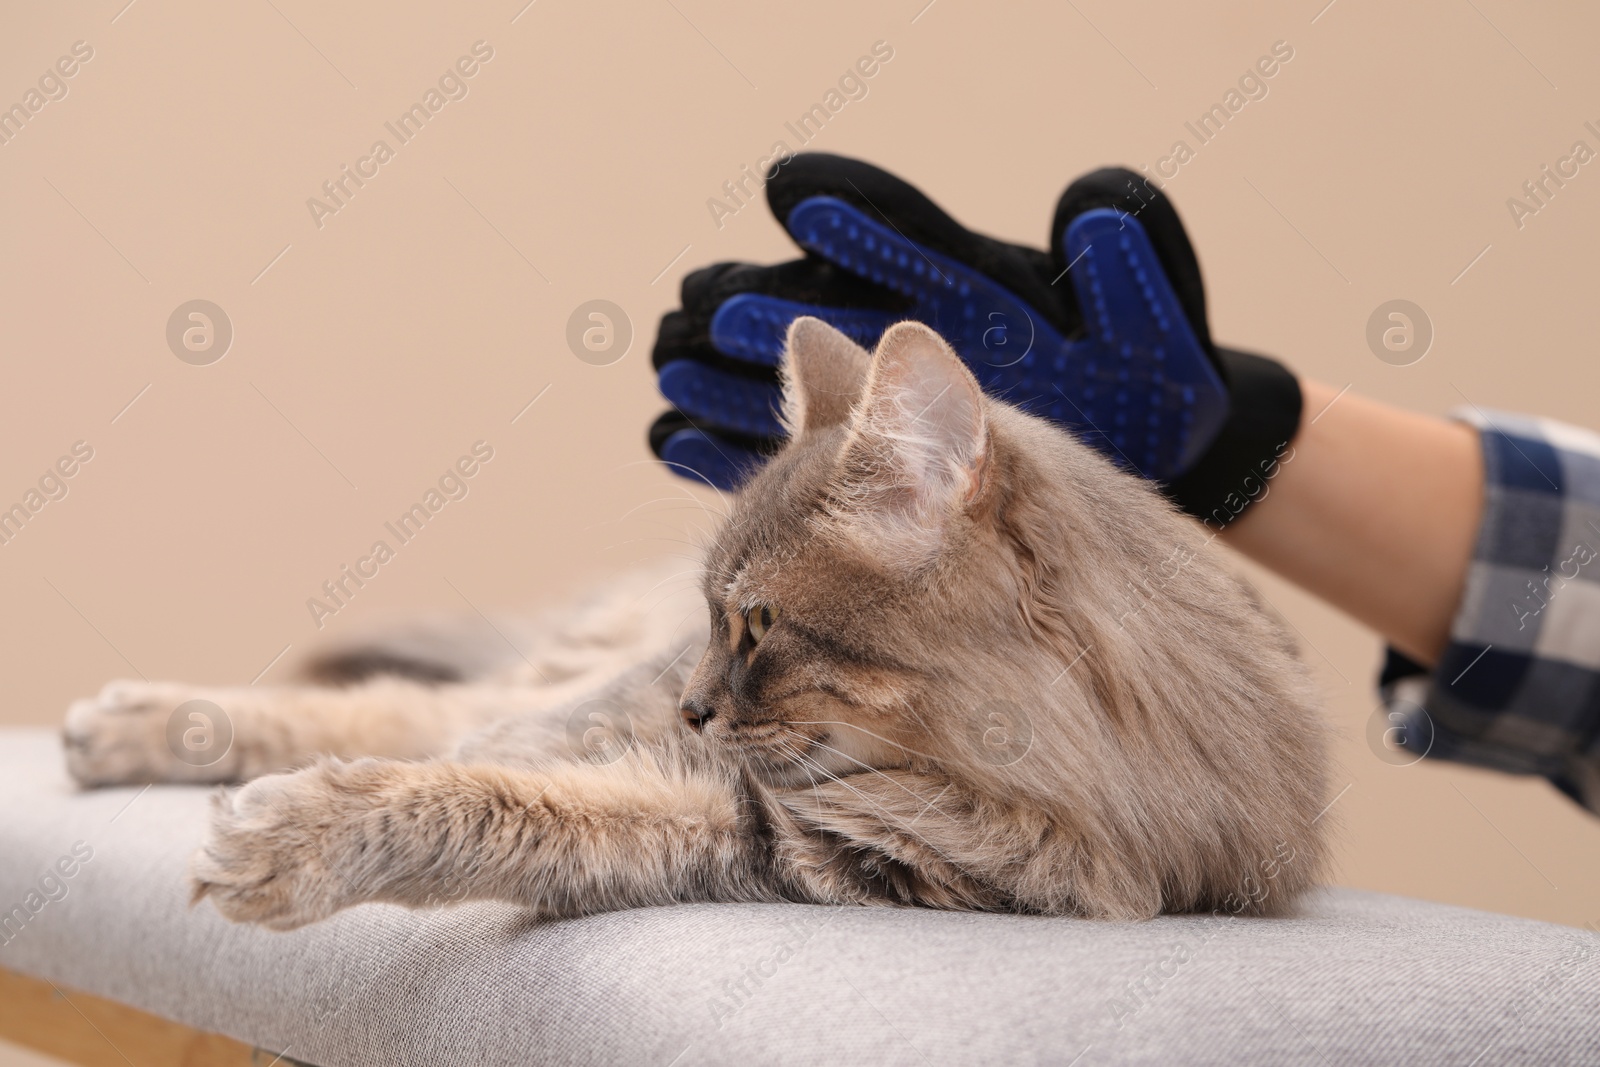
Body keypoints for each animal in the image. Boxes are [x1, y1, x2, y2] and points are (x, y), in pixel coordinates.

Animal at [59, 315, 1324, 927]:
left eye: (757, 623)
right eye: (718, 615)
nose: (692, 705)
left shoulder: (765, 841)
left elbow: (493, 802)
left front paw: (302, 831)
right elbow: (461, 760)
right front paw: (287, 816)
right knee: (413, 702)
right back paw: (133, 726)